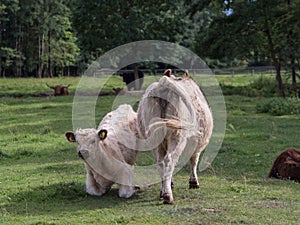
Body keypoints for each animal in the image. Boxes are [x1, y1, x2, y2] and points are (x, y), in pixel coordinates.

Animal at [137, 70, 212, 204]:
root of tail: (163, 83)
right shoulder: (198, 143)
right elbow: (194, 160)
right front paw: (194, 182)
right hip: (177, 135)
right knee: (170, 159)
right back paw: (168, 195)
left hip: (155, 137)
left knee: (161, 162)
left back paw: (163, 191)